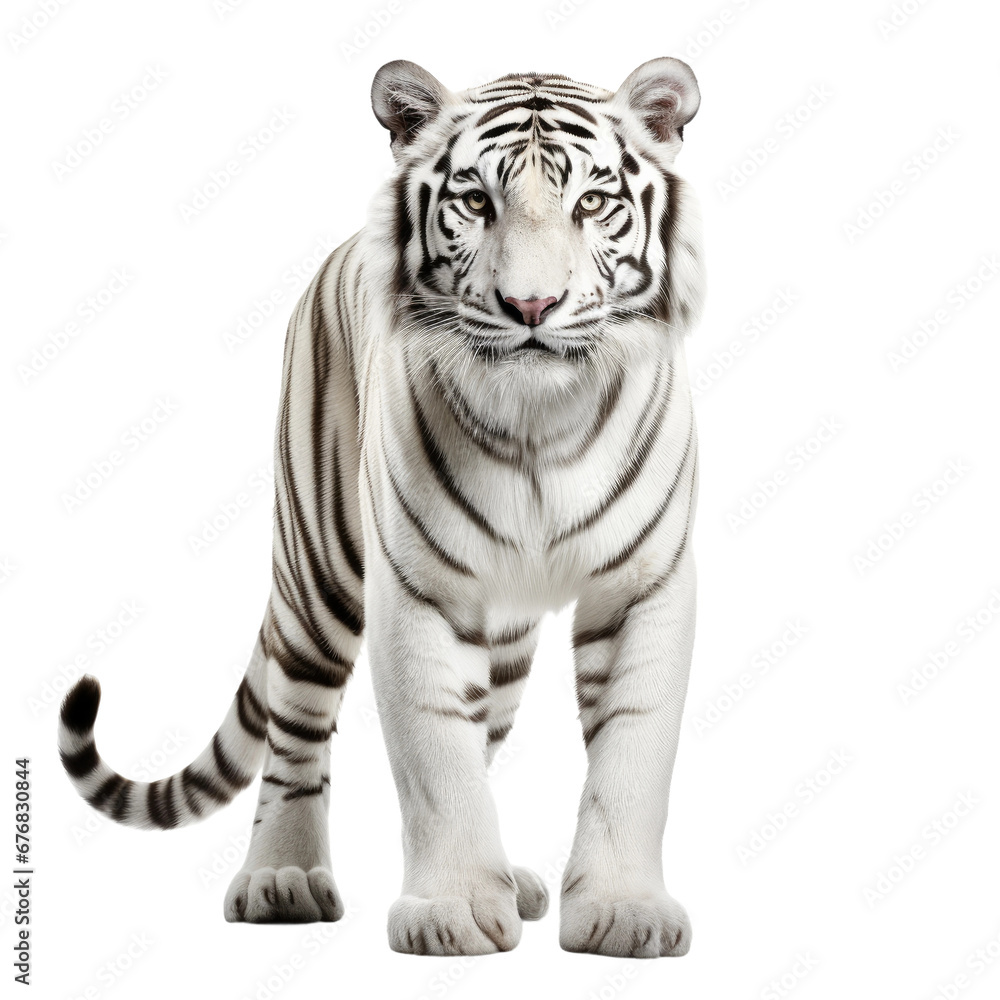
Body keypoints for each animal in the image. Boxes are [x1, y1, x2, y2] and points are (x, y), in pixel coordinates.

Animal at [58, 56, 706, 958]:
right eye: (477, 202)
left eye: (590, 202)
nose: (531, 307)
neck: (540, 421)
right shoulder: (415, 591)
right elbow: (435, 754)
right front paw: (455, 908)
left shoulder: (644, 585)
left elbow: (631, 751)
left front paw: (623, 910)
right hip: (320, 574)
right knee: (295, 733)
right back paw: (283, 879)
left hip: (500, 634)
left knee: (484, 725)